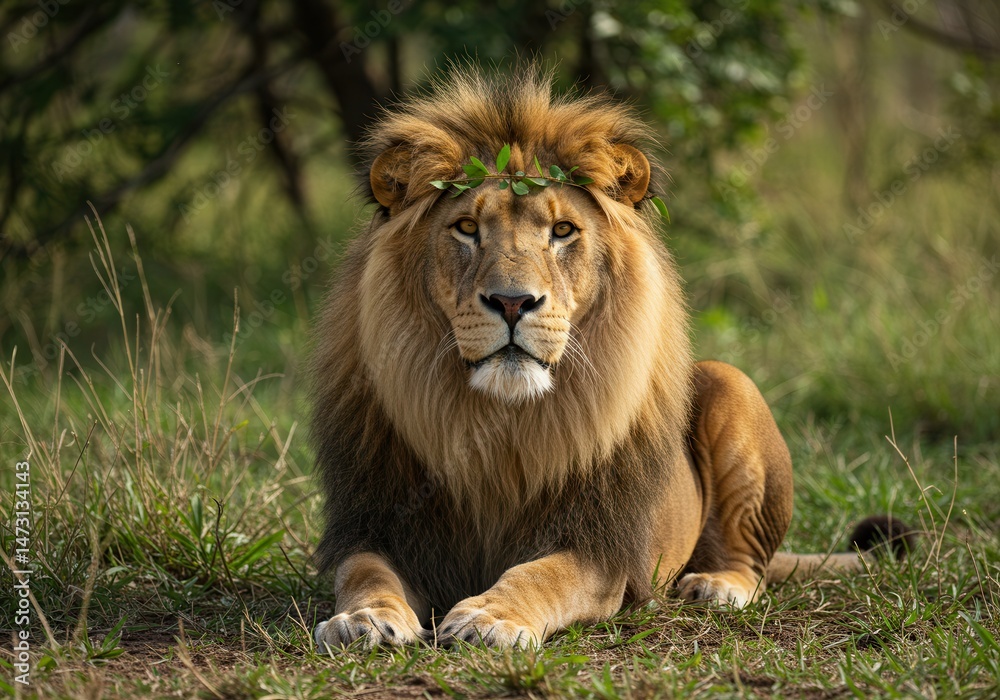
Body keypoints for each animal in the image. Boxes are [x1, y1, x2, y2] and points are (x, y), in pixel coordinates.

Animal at [310, 67, 911, 650]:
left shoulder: (600, 551)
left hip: (730, 382)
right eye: (465, 228)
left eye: (562, 231)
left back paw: (716, 586)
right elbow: (364, 572)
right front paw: (363, 617)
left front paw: (489, 616)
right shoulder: (378, 522)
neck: (499, 423)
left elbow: (539, 574)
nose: (513, 302)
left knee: (751, 563)